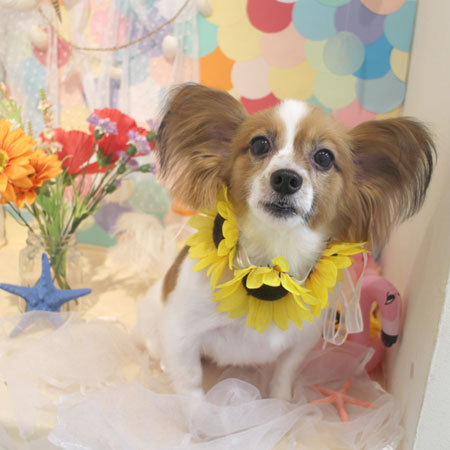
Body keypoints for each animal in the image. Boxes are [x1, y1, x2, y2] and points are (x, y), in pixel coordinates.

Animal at [139, 83, 434, 401]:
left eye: (324, 157)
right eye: (259, 145)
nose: (286, 178)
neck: (271, 264)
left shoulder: (302, 340)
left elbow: (285, 374)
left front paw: (281, 404)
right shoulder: (182, 333)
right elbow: (190, 383)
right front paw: (201, 413)